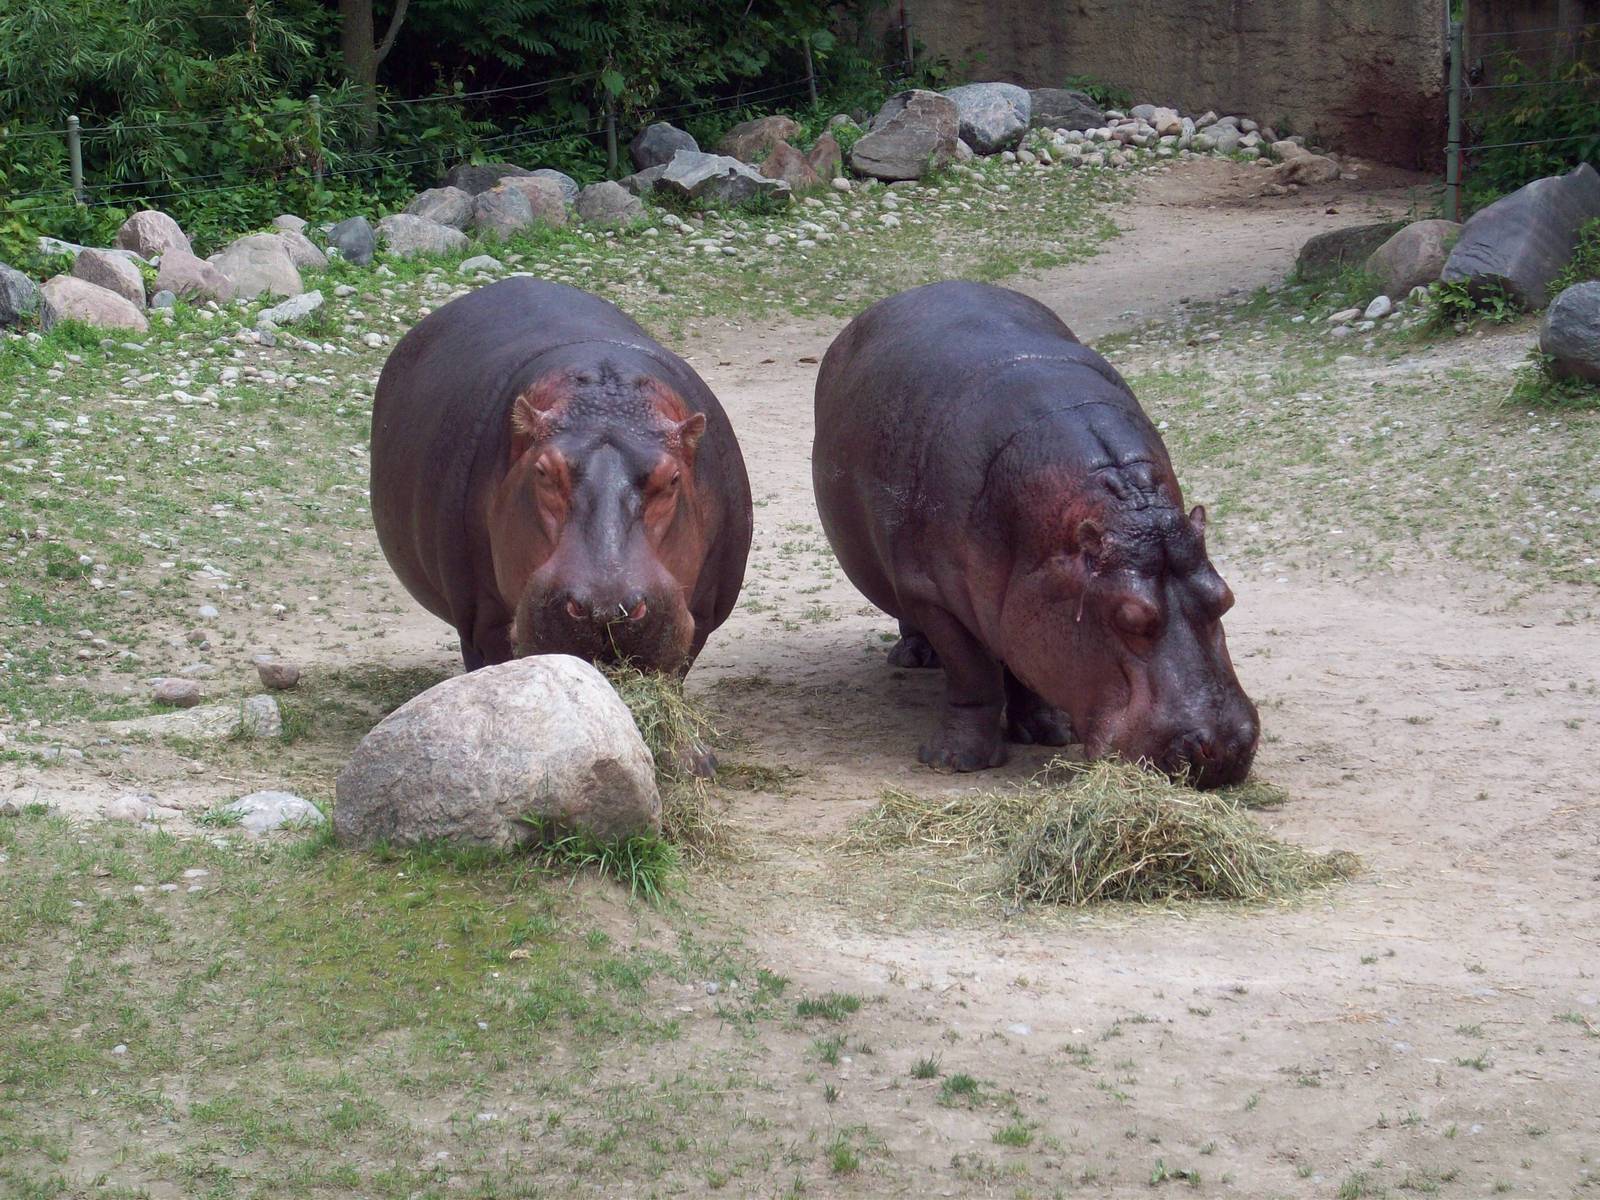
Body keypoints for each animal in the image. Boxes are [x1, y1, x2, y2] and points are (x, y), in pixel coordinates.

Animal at [370, 278, 752, 677]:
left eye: (674, 478)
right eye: (542, 471)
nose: (604, 610)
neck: (607, 404)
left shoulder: (700, 620)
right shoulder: (481, 623)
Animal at [812, 281, 1258, 786]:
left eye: (1226, 598)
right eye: (1127, 618)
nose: (1222, 750)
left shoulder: (1028, 598)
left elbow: (1026, 664)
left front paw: (1050, 733)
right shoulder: (932, 594)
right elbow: (973, 674)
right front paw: (953, 761)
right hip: (903, 578)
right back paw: (914, 657)